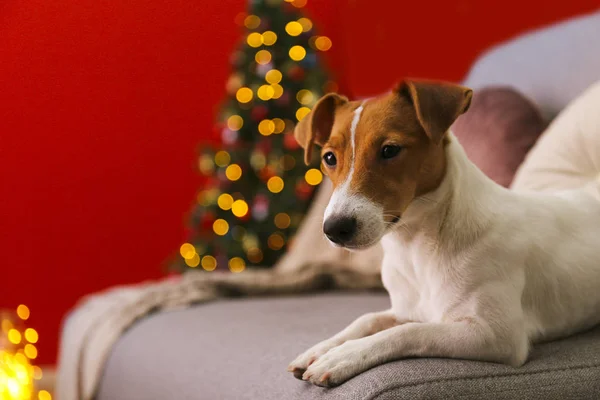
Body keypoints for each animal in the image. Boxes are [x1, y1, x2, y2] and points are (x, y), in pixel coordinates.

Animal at [284, 79, 600, 388]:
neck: (416, 246)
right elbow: (367, 319)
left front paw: (343, 356)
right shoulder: (406, 309)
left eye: (389, 150)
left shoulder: (496, 335)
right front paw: (320, 348)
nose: (334, 229)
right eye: (329, 157)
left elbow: (409, 332)